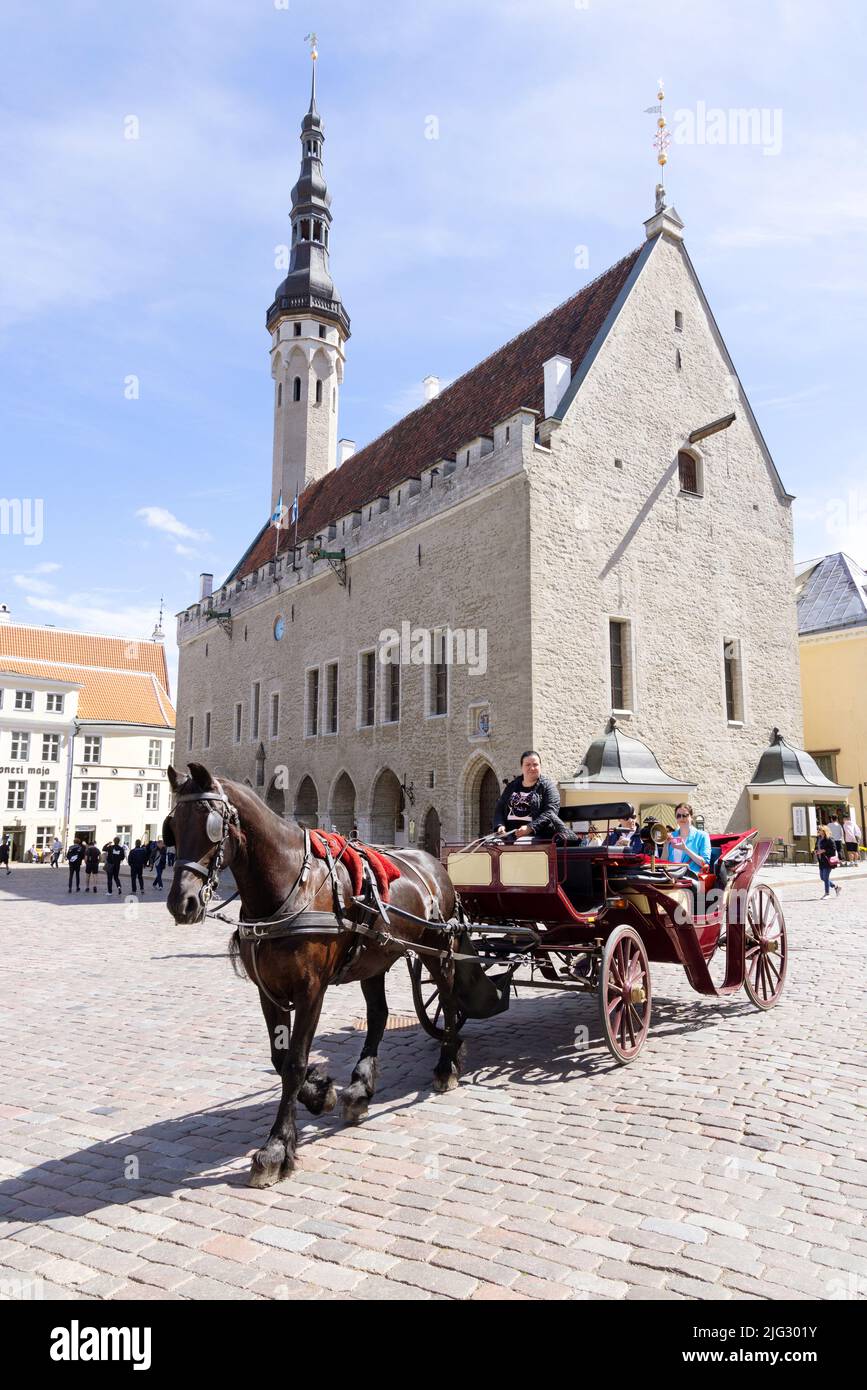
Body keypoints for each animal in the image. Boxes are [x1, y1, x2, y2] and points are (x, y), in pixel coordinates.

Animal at [166, 767, 497, 1189]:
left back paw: (446, 1065)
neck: (289, 886)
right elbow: (279, 1057)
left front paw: (276, 1150)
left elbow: (294, 1062)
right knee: (379, 1014)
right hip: (376, 957)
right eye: (172, 826)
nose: (182, 903)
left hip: (436, 947)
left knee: (450, 998)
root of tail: (434, 861)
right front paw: (322, 1092)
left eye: (211, 826)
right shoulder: (268, 990)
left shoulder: (312, 989)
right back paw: (359, 1089)